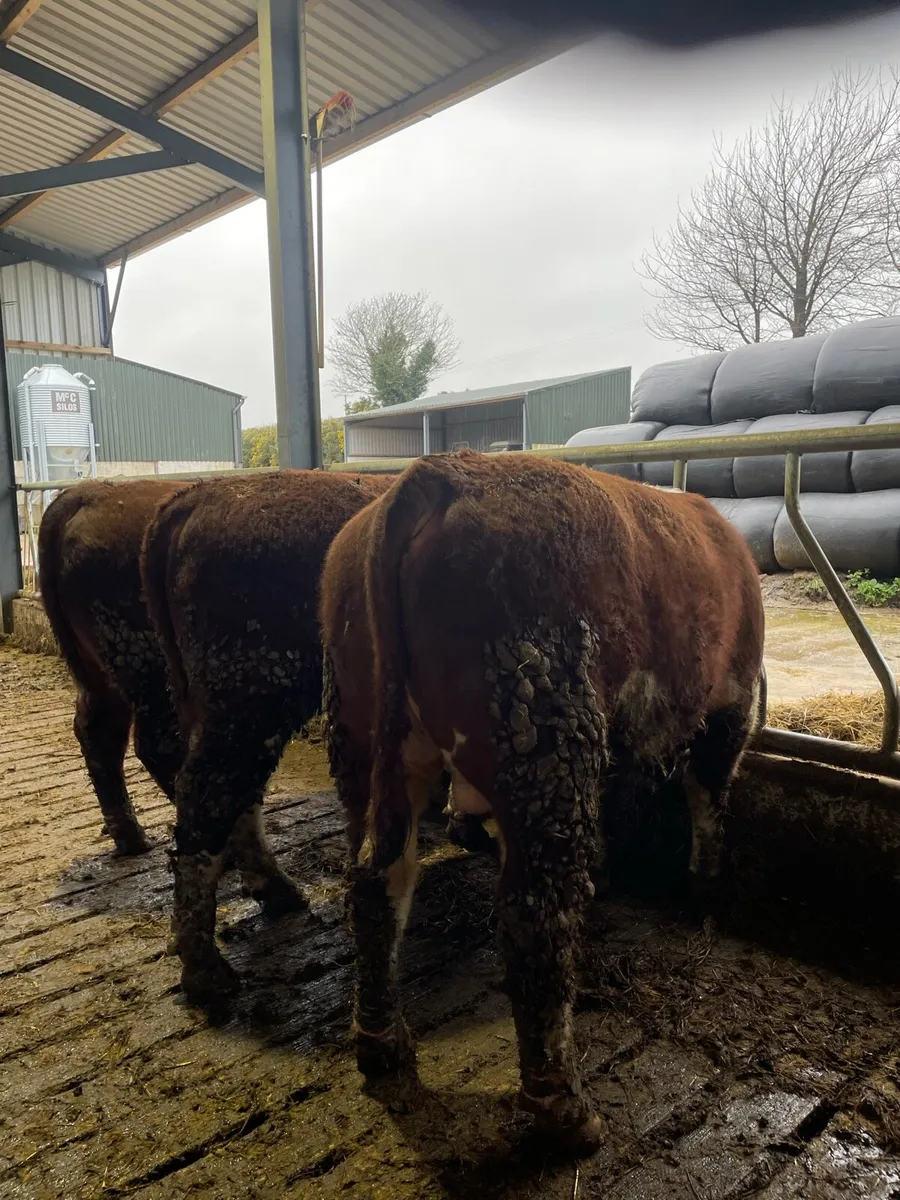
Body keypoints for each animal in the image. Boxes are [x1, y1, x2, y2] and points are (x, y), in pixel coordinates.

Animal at [38, 479, 186, 855]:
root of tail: (83, 494)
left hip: (99, 674)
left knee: (98, 732)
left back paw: (132, 838)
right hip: (149, 667)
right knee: (157, 745)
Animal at [140, 469, 399, 1003]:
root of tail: (188, 500)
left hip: (215, 706)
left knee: (235, 796)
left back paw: (275, 891)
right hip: (253, 698)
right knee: (207, 798)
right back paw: (205, 968)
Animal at [320, 449, 764, 1153]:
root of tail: (435, 474)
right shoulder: (734, 700)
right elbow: (708, 794)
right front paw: (708, 887)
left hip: (367, 745)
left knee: (377, 881)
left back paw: (382, 1043)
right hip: (545, 736)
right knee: (536, 915)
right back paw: (566, 1110)